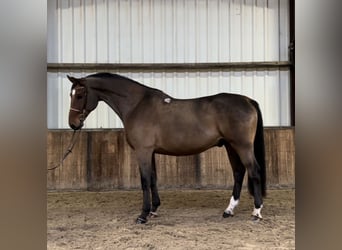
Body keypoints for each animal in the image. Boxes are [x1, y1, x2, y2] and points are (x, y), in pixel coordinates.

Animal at [66, 72, 264, 223]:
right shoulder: (150, 152)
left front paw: (143, 215)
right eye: (71, 94)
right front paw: (154, 210)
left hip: (242, 146)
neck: (137, 105)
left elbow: (145, 181)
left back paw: (256, 212)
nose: (73, 124)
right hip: (231, 146)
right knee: (238, 173)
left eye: (80, 95)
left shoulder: (143, 151)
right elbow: (153, 179)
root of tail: (248, 100)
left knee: (253, 171)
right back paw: (228, 211)